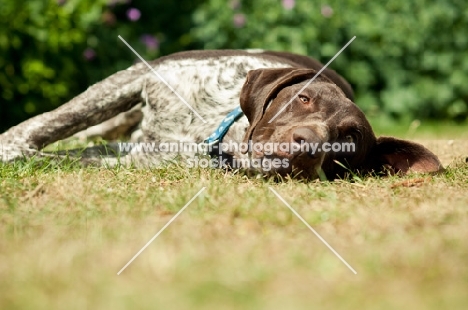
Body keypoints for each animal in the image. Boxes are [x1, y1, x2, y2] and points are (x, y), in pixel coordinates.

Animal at [0, 49, 442, 179]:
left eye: (349, 140)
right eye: (303, 99)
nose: (308, 146)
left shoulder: (134, 159)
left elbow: (60, 157)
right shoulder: (137, 76)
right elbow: (49, 123)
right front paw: (9, 145)